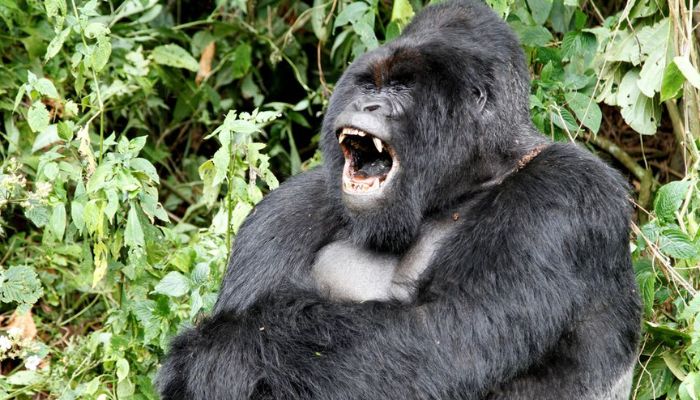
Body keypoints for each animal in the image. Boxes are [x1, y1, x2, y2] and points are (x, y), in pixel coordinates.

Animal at [157, 1, 640, 398]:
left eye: (402, 89)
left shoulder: (564, 192)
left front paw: (228, 354)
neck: (472, 177)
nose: (367, 106)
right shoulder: (285, 210)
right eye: (368, 87)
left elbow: (441, 335)